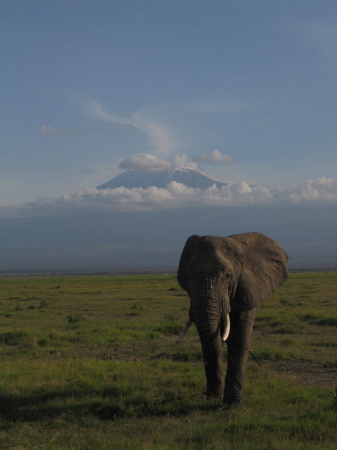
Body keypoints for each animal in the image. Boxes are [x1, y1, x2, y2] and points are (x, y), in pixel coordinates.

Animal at [175, 234, 288, 406]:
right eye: (188, 276)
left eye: (228, 276)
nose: (212, 396)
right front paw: (216, 398)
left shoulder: (247, 288)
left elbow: (238, 338)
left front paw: (232, 405)